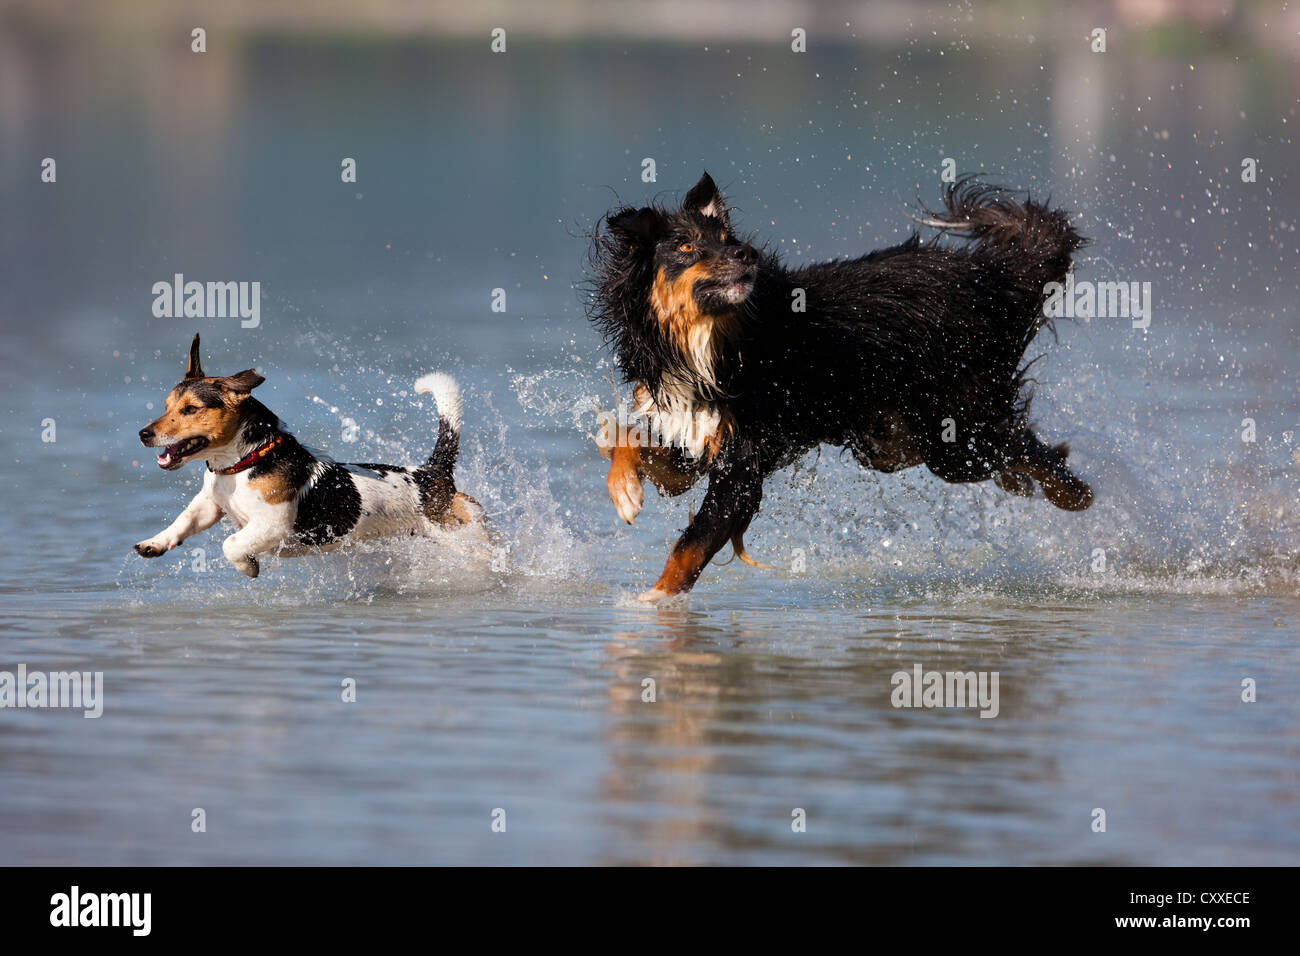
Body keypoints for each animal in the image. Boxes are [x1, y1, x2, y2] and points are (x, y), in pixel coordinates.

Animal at [595, 171, 1092, 598]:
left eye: (726, 241)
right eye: (685, 245)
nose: (745, 254)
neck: (708, 344)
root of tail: (988, 277)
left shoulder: (742, 463)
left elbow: (691, 546)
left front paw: (652, 601)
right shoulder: (688, 433)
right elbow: (627, 436)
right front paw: (625, 492)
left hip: (954, 434)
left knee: (1028, 448)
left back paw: (1073, 494)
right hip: (898, 439)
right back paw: (1025, 485)